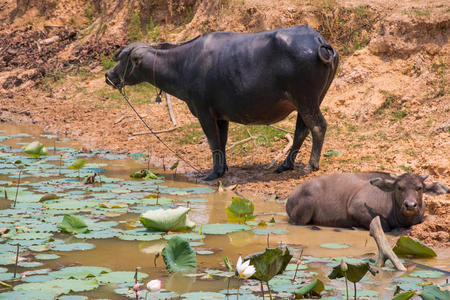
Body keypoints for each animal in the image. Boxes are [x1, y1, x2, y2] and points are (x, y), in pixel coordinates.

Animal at [105, 25, 338, 180]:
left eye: (123, 59)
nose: (108, 76)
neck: (184, 64)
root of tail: (318, 40)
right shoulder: (221, 115)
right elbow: (222, 142)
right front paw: (223, 169)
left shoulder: (204, 111)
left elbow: (213, 142)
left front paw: (213, 173)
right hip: (310, 100)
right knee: (301, 130)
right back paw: (285, 165)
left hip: (306, 99)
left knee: (318, 127)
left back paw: (311, 166)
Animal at [286, 172, 448, 231]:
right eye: (399, 187)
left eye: (419, 187)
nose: (410, 205)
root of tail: (291, 195)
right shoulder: (356, 208)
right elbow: (384, 226)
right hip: (302, 215)